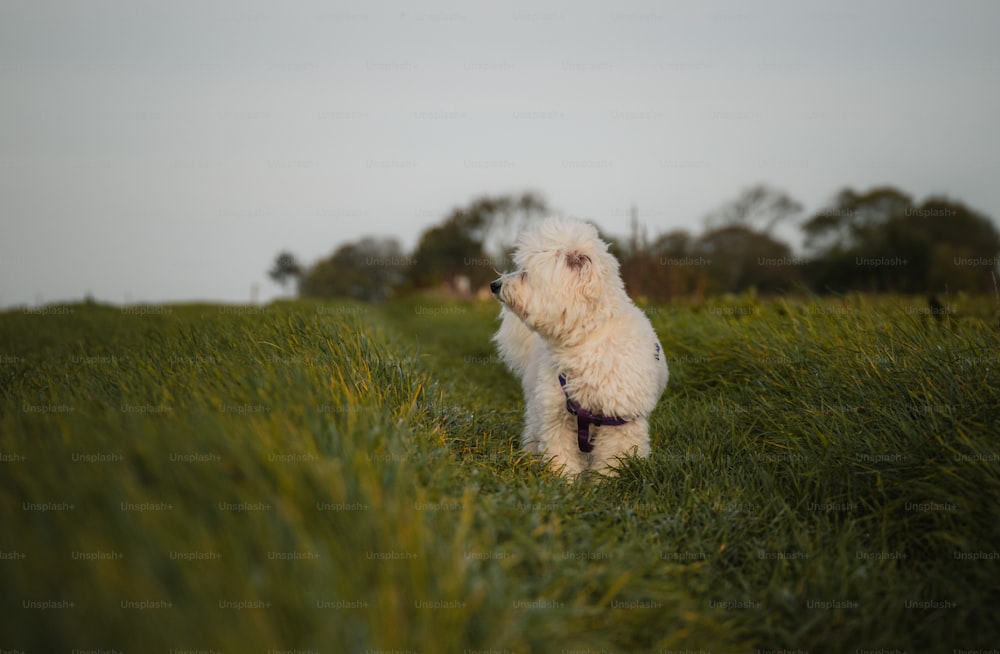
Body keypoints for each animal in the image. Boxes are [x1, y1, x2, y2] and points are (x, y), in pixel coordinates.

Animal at [488, 218, 668, 480]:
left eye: (525, 274)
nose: (494, 284)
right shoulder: (557, 415)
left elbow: (613, 459)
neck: (585, 339)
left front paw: (605, 482)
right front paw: (564, 480)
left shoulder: (620, 420)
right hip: (537, 403)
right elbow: (560, 453)